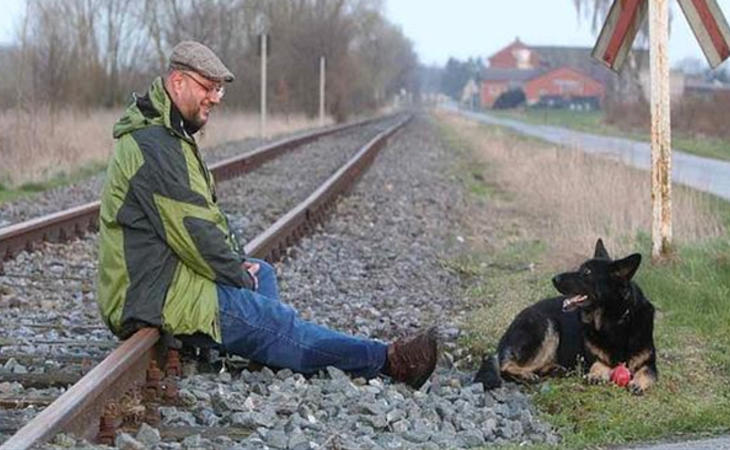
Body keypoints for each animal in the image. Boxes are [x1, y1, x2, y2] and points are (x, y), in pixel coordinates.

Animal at [474, 239, 656, 394]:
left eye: (586, 273)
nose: (554, 278)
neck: (614, 322)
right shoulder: (592, 359)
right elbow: (598, 364)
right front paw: (596, 374)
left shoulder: (650, 365)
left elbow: (646, 373)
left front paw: (638, 383)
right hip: (548, 327)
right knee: (504, 366)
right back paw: (526, 374)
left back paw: (555, 369)